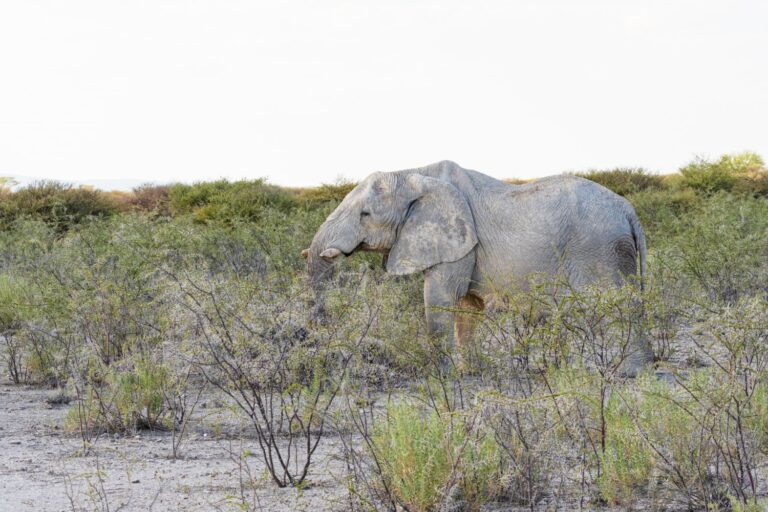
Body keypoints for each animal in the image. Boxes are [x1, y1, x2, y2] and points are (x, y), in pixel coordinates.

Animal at [304, 160, 652, 376]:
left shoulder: (460, 239)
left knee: (614, 305)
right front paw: (468, 372)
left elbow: (441, 297)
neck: (411, 173)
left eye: (365, 214)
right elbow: (467, 306)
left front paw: (440, 376)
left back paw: (626, 373)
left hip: (599, 247)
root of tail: (629, 210)